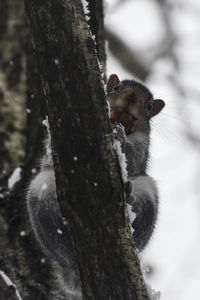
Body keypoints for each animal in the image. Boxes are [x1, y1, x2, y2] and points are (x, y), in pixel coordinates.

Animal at [26, 74, 164, 298]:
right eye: (116, 87)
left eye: (149, 106)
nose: (130, 98)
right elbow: (51, 149)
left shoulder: (142, 146)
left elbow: (132, 158)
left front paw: (120, 138)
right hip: (42, 190)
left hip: (146, 194)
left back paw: (129, 200)